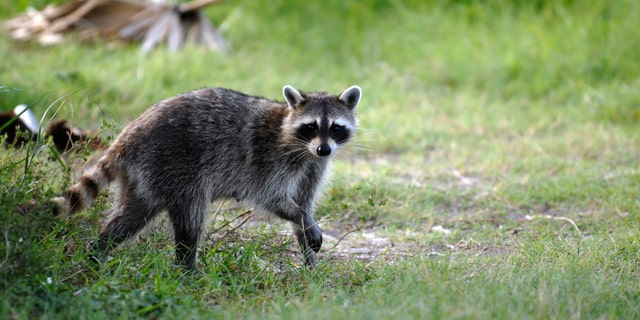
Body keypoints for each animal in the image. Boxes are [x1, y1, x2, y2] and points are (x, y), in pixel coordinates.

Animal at [56, 84, 360, 268]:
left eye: (335, 128)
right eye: (311, 127)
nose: (324, 149)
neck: (302, 147)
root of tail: (132, 131)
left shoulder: (313, 167)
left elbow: (303, 203)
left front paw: (309, 255)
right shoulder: (269, 159)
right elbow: (273, 198)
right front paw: (305, 221)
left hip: (145, 176)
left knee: (129, 216)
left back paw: (97, 251)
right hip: (175, 165)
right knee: (191, 221)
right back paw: (186, 267)